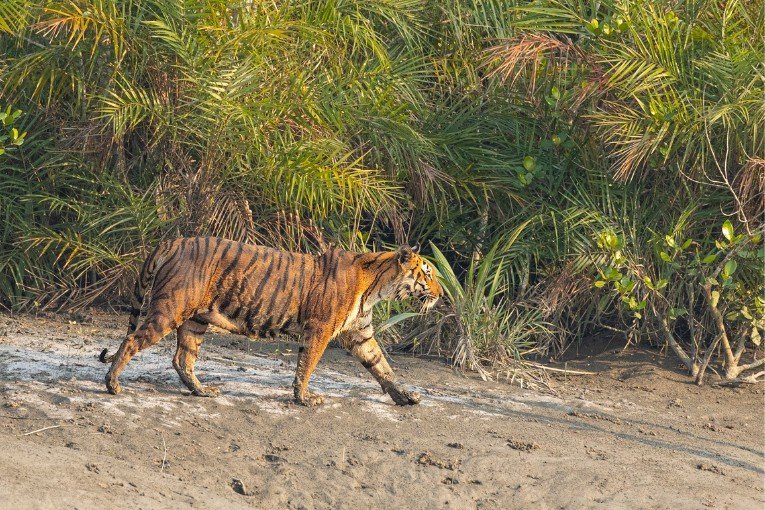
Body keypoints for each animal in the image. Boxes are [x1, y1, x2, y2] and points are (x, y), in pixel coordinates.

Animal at [98, 238, 442, 406]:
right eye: (427, 274)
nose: (440, 294)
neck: (377, 287)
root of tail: (173, 241)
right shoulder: (320, 329)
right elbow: (307, 366)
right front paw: (304, 399)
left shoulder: (361, 334)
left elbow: (382, 367)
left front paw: (405, 397)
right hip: (170, 309)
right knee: (132, 340)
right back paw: (112, 384)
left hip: (195, 320)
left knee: (182, 358)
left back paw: (203, 391)